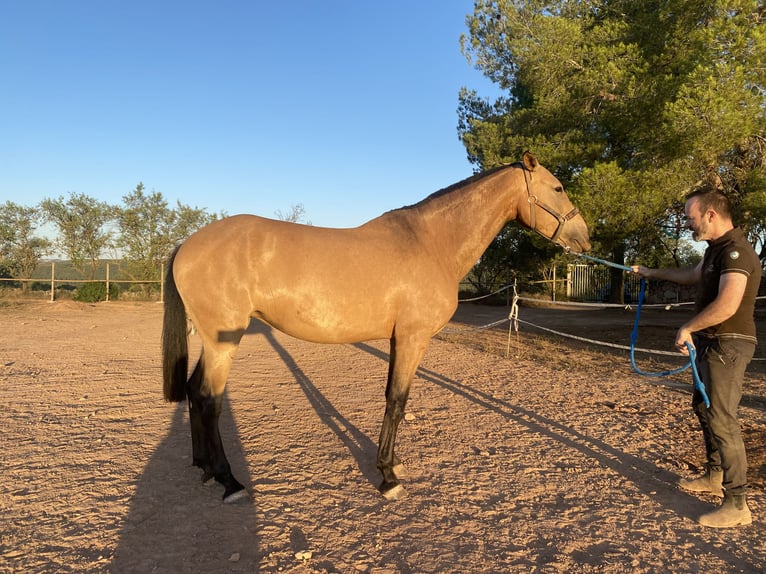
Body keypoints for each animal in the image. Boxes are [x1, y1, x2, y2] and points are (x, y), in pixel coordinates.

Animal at [164, 152, 592, 504]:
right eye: (557, 187)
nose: (585, 239)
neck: (431, 242)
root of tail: (186, 245)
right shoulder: (411, 338)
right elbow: (396, 401)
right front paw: (388, 476)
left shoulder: (397, 339)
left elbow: (394, 400)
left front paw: (393, 463)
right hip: (224, 340)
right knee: (209, 400)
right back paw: (229, 482)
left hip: (213, 341)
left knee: (193, 391)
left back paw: (205, 468)